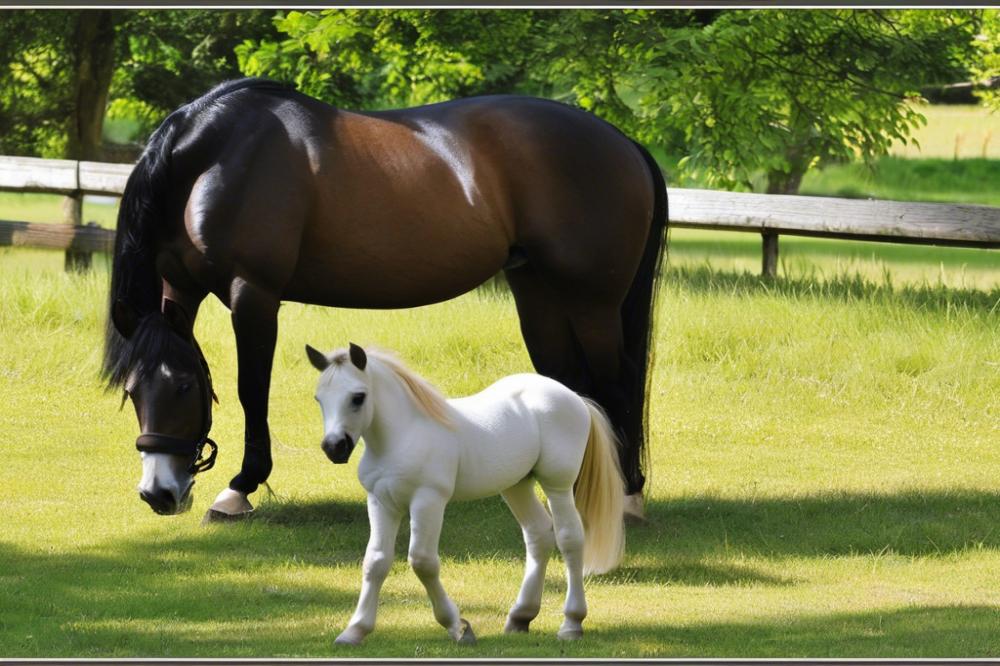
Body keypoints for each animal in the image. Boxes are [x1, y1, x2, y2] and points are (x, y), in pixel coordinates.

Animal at [101, 78, 668, 520]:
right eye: (132, 391)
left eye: (182, 389)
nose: (159, 494)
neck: (218, 161)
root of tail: (622, 142)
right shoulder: (181, 285)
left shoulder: (253, 293)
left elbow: (251, 389)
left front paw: (239, 489)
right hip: (539, 292)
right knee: (568, 382)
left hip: (593, 303)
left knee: (615, 385)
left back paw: (627, 498)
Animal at [304, 342, 620, 644]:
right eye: (319, 398)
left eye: (358, 397)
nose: (334, 447)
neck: (402, 436)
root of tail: (575, 398)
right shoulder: (382, 502)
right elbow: (376, 561)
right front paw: (354, 631)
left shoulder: (428, 501)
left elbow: (423, 561)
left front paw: (458, 628)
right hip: (516, 485)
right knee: (539, 535)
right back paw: (520, 617)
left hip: (558, 485)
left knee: (570, 539)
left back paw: (571, 623)